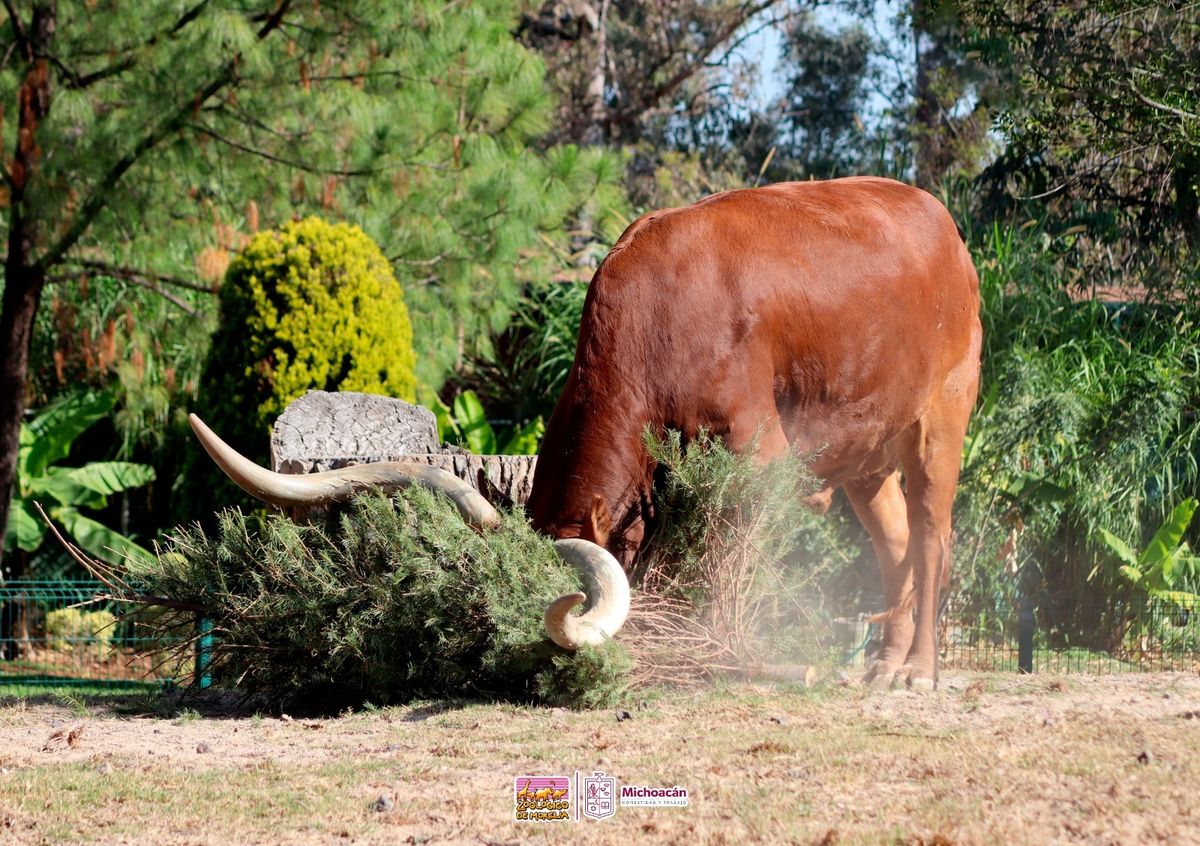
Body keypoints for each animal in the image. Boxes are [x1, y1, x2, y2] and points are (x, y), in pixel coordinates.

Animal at [530, 176, 979, 686]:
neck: (656, 315)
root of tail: (940, 217)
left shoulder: (759, 456)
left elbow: (729, 566)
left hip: (942, 420)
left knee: (929, 539)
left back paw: (919, 667)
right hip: (868, 450)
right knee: (895, 546)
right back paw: (885, 662)